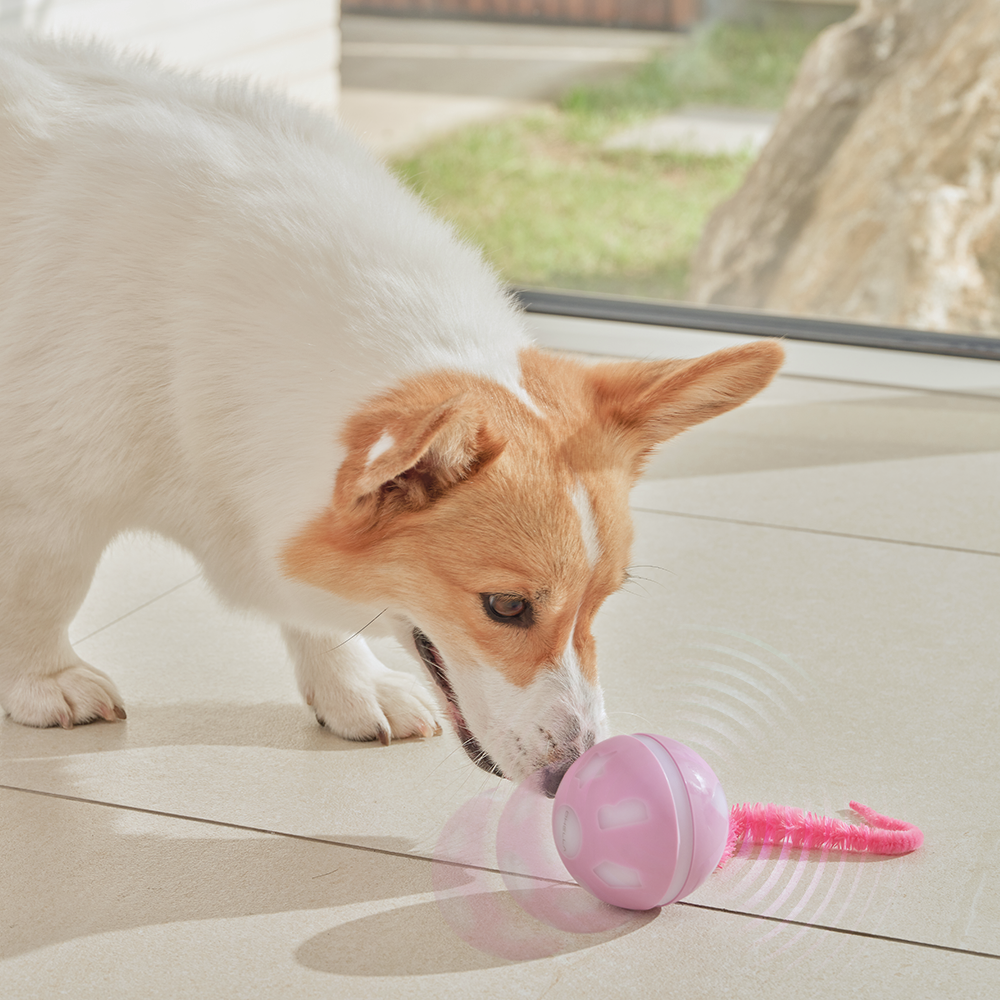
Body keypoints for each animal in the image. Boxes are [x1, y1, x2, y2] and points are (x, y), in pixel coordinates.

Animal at [0, 37, 780, 788]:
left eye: (602, 601)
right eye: (506, 607)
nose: (572, 775)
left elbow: (315, 608)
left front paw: (352, 689)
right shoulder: (49, 505)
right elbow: (46, 592)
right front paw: (46, 683)